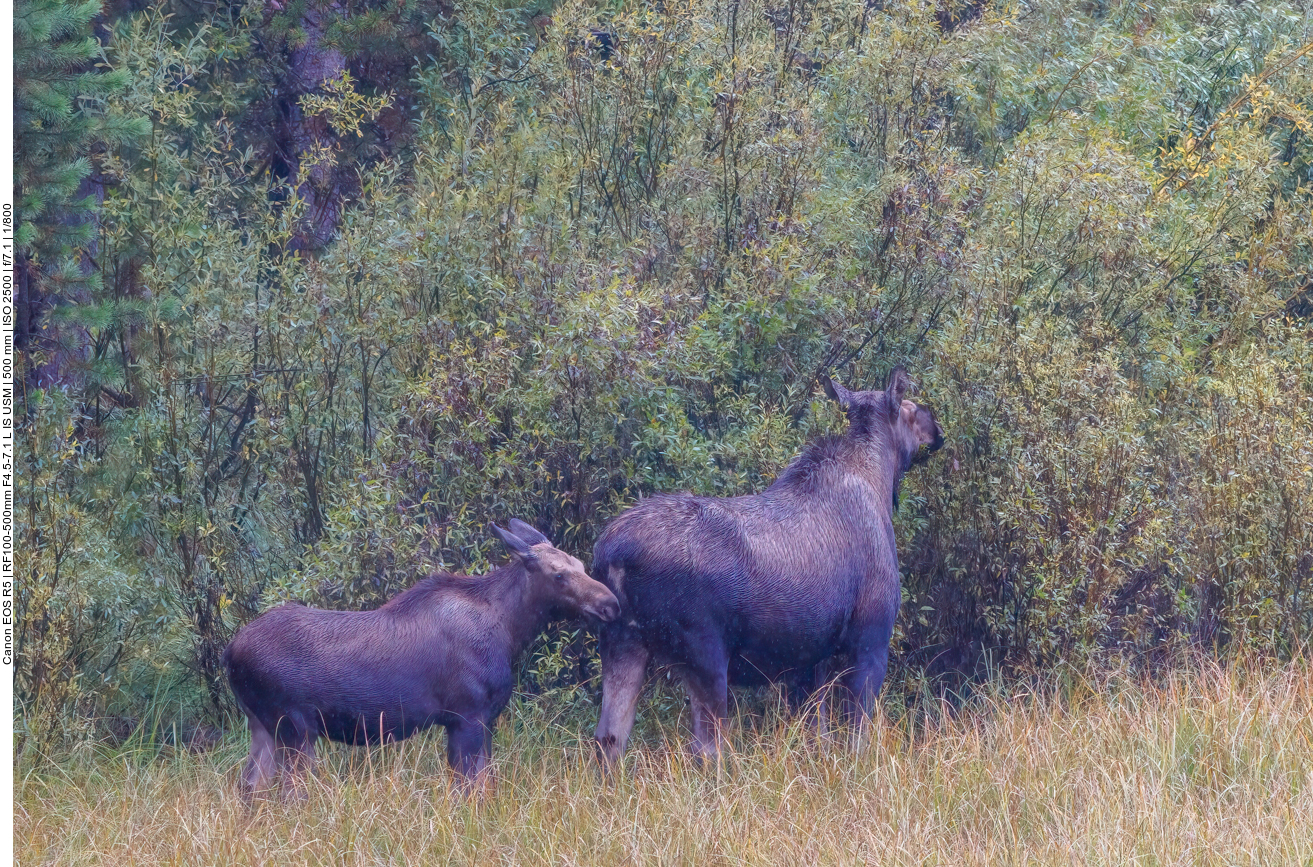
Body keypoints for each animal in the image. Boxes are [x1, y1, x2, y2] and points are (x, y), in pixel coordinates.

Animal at [224, 517, 619, 793]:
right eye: (558, 574)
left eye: (581, 564)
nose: (611, 604)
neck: (510, 631)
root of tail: (229, 654)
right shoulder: (467, 715)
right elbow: (470, 790)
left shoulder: (480, 720)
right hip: (294, 725)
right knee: (290, 793)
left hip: (261, 724)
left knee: (250, 786)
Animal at [593, 370, 945, 761]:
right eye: (912, 410)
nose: (936, 429)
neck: (879, 481)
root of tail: (611, 558)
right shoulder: (871, 639)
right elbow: (857, 735)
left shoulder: (810, 660)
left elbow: (816, 735)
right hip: (704, 652)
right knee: (707, 747)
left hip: (621, 640)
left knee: (609, 737)